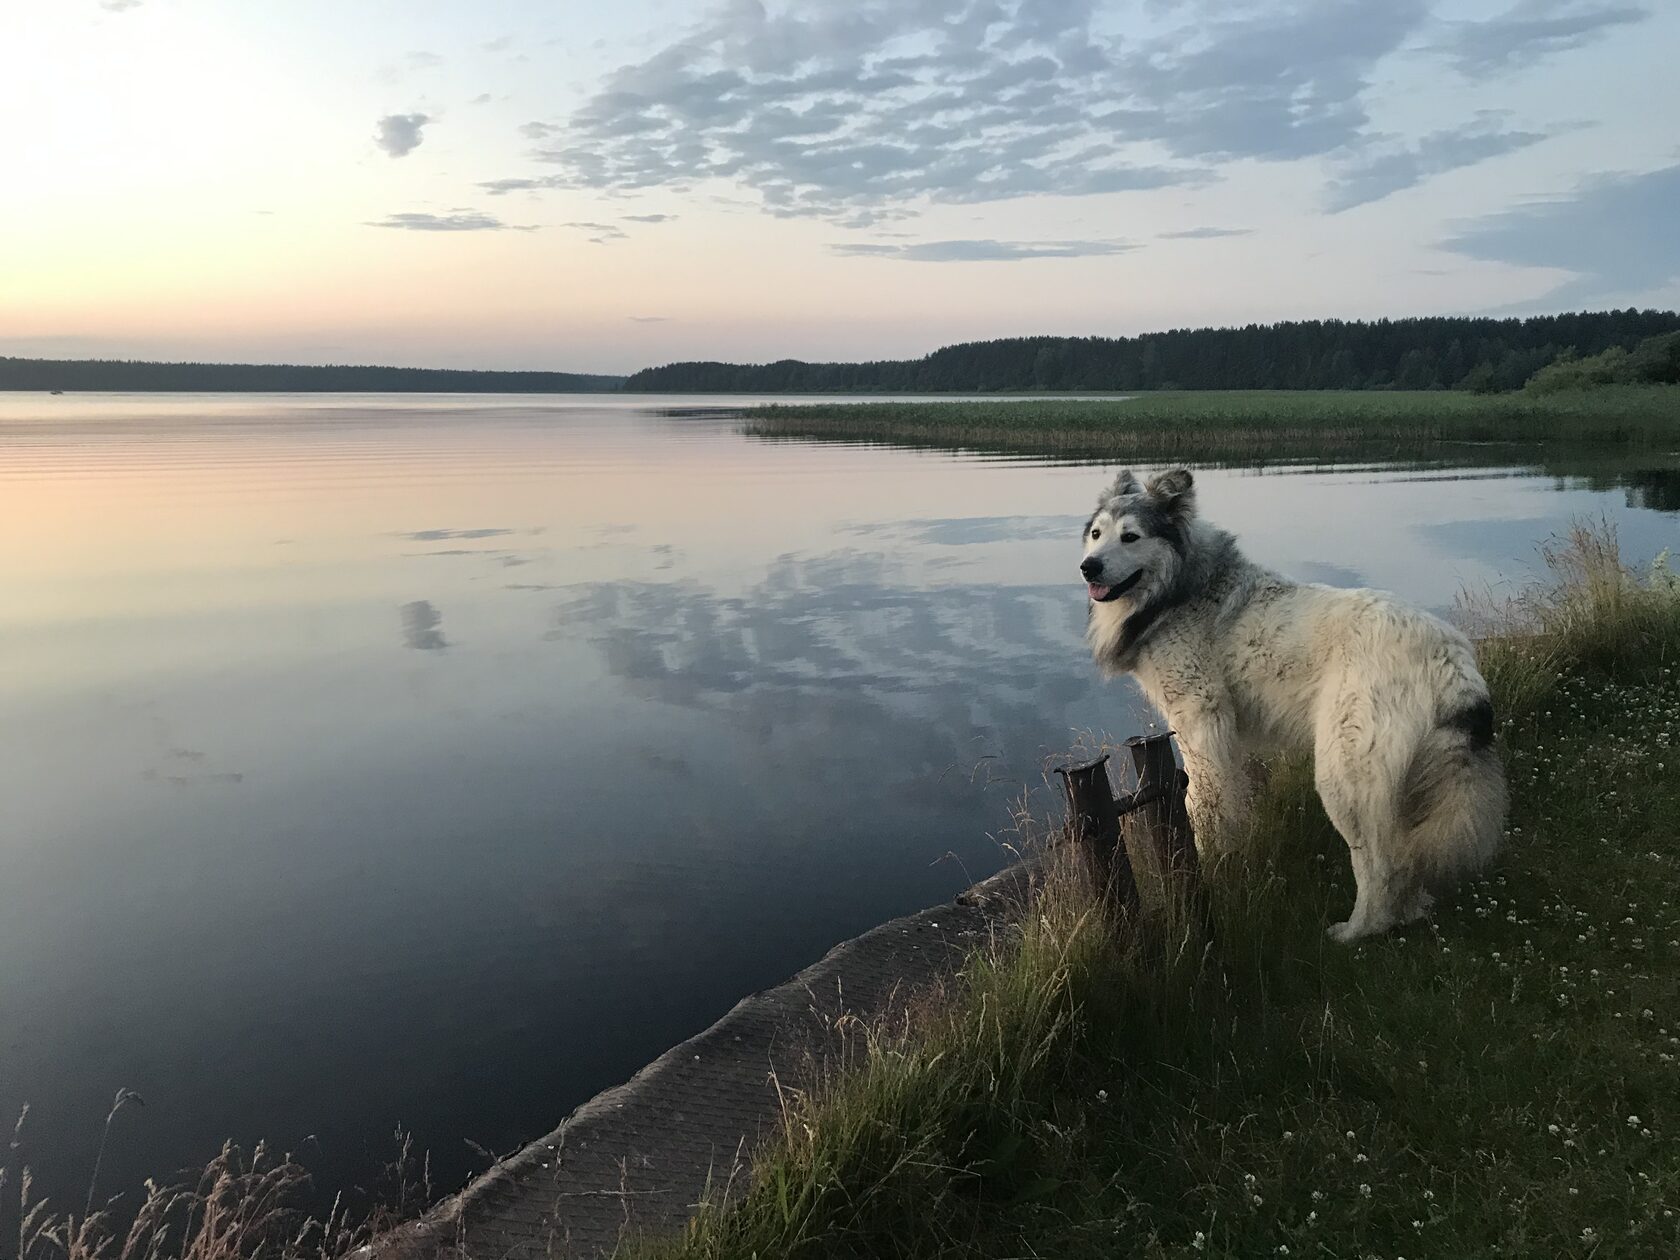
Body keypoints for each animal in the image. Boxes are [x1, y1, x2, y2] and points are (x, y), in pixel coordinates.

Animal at [1088, 470, 1512, 940]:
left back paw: (1357, 929)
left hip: (1344, 777)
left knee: (1379, 863)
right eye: (1096, 534)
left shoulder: (1199, 720)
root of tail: (1452, 660)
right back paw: (1409, 911)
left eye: (1130, 536)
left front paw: (1210, 857)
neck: (1180, 590)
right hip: (1406, 778)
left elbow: (1200, 801)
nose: (1089, 566)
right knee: (1404, 857)